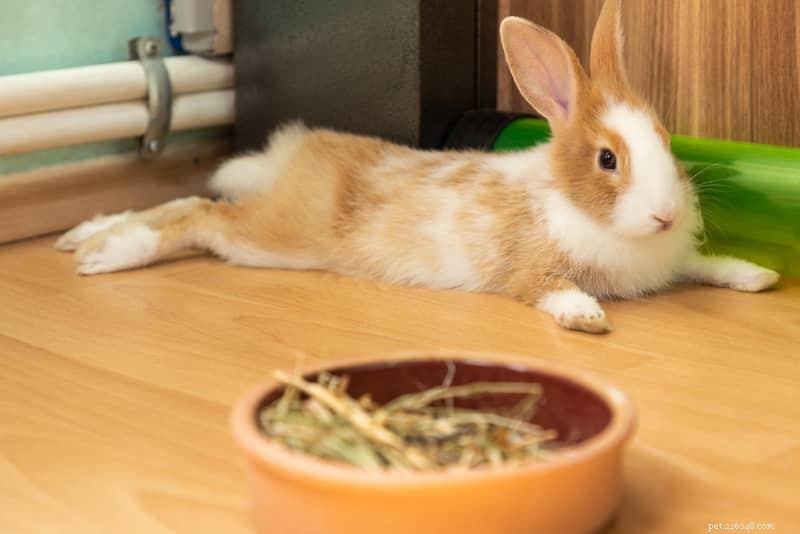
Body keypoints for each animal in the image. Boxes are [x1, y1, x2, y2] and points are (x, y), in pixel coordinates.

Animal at [56, 0, 779, 334]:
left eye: (666, 140)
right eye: (607, 158)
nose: (665, 215)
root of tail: (291, 156)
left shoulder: (672, 262)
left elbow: (703, 265)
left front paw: (757, 275)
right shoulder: (529, 268)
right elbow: (546, 289)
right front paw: (586, 317)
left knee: (185, 204)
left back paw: (83, 234)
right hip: (275, 241)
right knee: (200, 215)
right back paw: (107, 254)